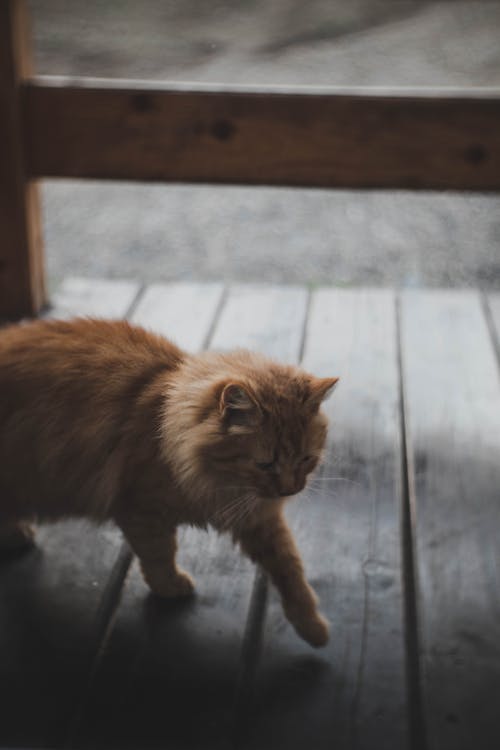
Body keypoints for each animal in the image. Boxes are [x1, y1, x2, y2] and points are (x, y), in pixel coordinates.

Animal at [0, 318, 338, 648]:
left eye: (306, 459)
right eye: (265, 464)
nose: (290, 489)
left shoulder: (258, 518)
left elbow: (291, 571)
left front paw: (313, 627)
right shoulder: (143, 511)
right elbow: (160, 555)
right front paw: (171, 587)